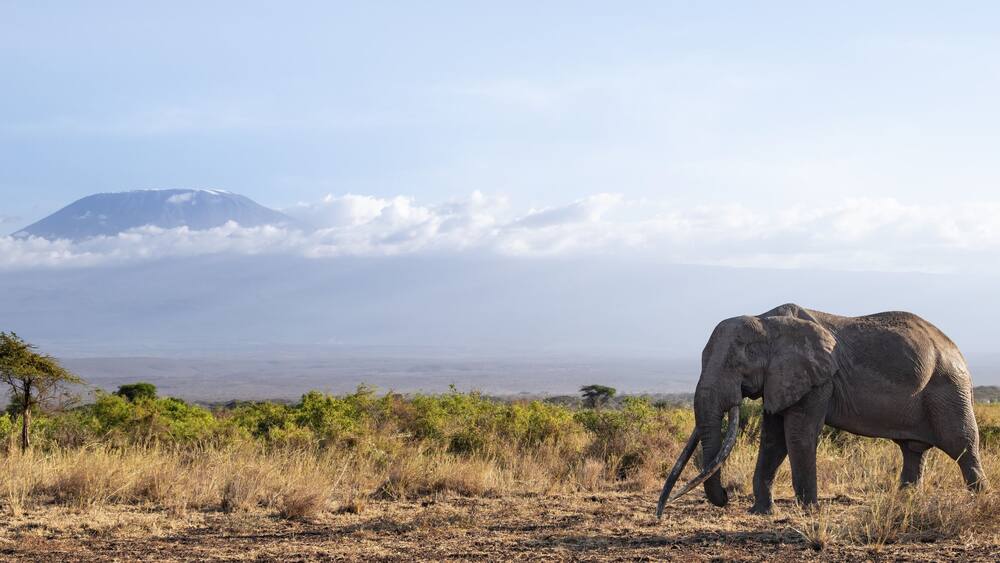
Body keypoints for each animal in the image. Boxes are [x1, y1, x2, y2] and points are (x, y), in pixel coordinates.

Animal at [656, 303, 988, 516]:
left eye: (739, 362)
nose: (725, 496)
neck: (766, 321)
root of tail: (956, 348)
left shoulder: (818, 379)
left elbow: (798, 434)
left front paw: (808, 511)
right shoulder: (782, 378)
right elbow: (773, 439)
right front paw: (761, 512)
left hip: (948, 387)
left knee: (962, 444)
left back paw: (980, 501)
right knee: (913, 450)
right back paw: (905, 504)